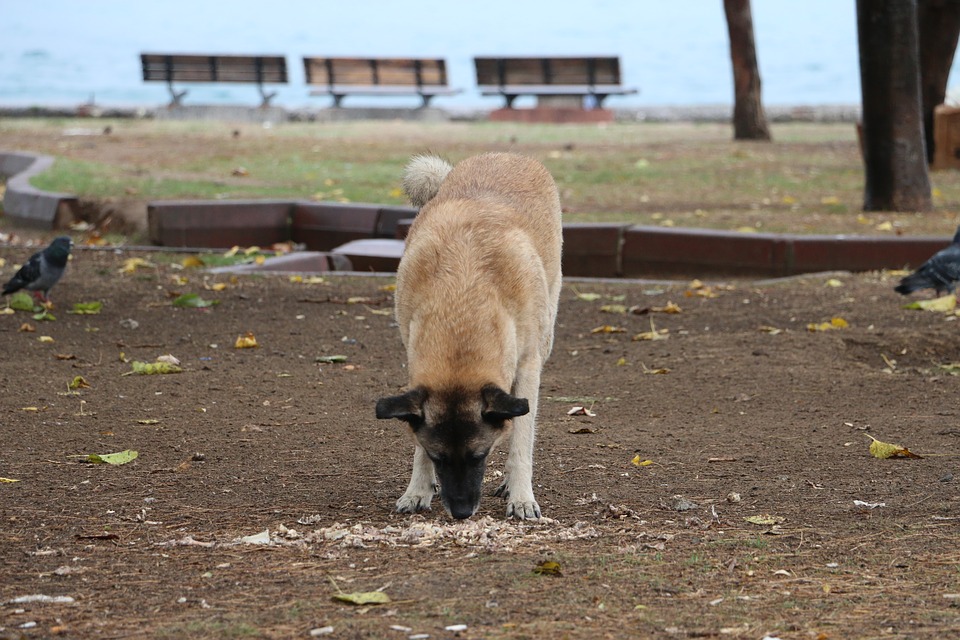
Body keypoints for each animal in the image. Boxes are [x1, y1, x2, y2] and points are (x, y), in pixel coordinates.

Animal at [376, 151, 564, 520]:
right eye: (438, 457)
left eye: (480, 455)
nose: (462, 511)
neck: (461, 307)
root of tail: (505, 155)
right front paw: (418, 489)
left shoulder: (527, 369)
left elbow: (521, 441)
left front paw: (521, 496)